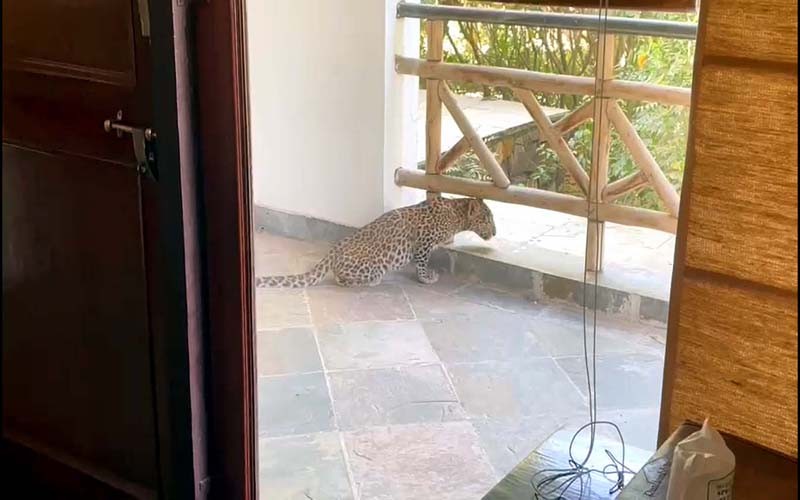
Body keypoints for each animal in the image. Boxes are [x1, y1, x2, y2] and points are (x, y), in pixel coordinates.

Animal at [256, 196, 496, 288]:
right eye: (487, 219)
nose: (495, 232)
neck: (456, 215)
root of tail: (333, 251)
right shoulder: (423, 244)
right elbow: (421, 264)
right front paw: (427, 278)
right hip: (373, 267)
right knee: (342, 279)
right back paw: (368, 282)